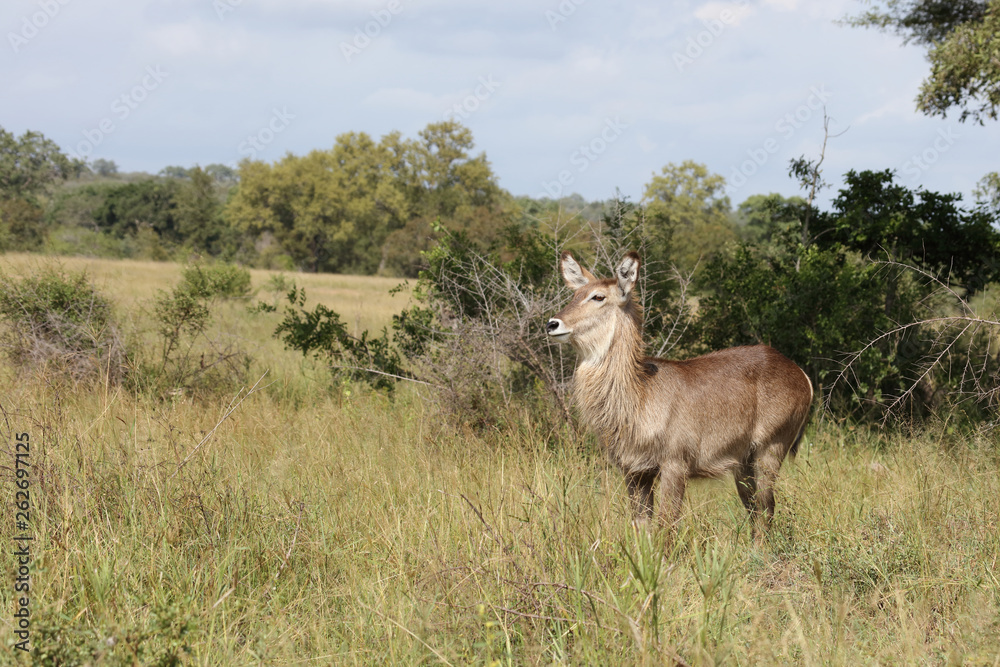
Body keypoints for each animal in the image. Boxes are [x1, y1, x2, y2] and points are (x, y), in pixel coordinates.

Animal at [548, 250, 812, 532]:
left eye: (598, 296)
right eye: (575, 295)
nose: (552, 323)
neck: (640, 394)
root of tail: (798, 372)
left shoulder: (675, 465)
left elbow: (667, 525)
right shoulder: (635, 472)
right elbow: (642, 527)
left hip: (770, 449)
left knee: (766, 509)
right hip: (743, 464)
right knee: (755, 511)